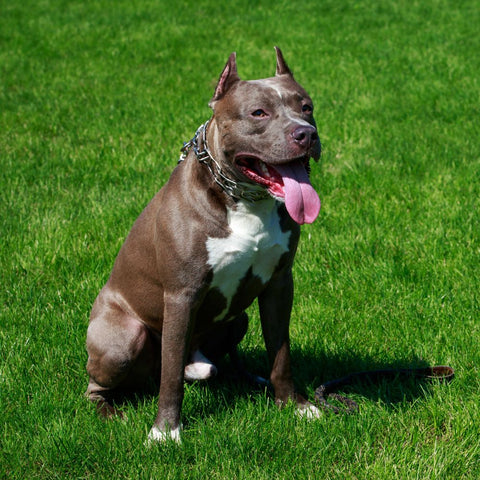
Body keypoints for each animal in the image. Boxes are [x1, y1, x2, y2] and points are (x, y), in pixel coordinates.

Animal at [86, 48, 322, 442]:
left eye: (307, 107)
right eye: (258, 113)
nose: (307, 133)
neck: (246, 201)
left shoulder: (278, 283)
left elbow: (281, 353)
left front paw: (294, 405)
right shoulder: (182, 294)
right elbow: (169, 380)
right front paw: (165, 432)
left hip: (238, 319)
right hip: (122, 340)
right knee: (107, 382)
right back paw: (108, 411)